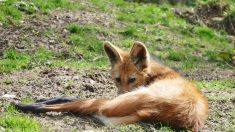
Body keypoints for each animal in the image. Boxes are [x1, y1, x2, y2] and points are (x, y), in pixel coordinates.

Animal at [13, 41, 208, 132]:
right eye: (117, 79)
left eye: (132, 79)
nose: (121, 93)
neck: (155, 74)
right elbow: (68, 95)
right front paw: (45, 97)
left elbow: (71, 99)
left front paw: (39, 101)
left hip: (121, 102)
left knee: (78, 105)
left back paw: (27, 105)